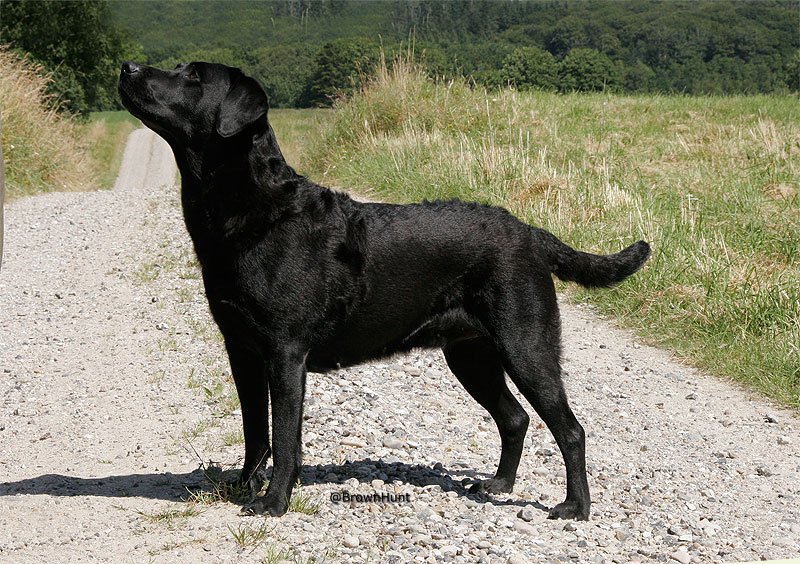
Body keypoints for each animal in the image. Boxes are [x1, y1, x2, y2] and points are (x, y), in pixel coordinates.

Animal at [118, 61, 650, 520]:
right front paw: (244, 486)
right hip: (470, 354)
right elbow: (255, 432)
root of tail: (531, 232)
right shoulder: (241, 350)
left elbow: (285, 436)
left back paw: (575, 507)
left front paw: (273, 501)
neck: (250, 206)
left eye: (193, 76)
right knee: (515, 418)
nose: (129, 67)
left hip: (525, 345)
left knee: (571, 429)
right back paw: (497, 485)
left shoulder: (285, 353)